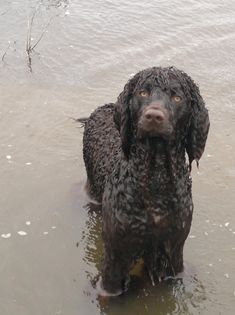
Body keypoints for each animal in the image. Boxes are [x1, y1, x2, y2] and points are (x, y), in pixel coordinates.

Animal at [79, 66, 209, 296]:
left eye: (177, 97)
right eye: (143, 93)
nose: (154, 116)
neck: (156, 181)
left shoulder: (174, 249)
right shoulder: (116, 254)